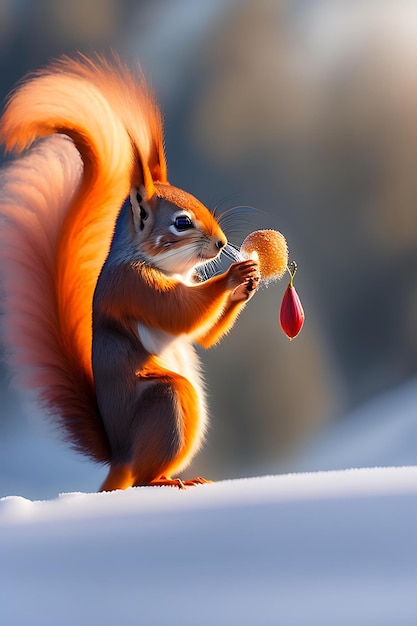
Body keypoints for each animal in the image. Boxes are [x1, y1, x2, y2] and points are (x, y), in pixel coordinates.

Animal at [0, 53, 258, 490]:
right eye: (181, 222)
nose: (222, 243)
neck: (165, 268)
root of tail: (120, 455)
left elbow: (201, 335)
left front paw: (249, 282)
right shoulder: (132, 286)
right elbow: (179, 314)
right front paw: (233, 277)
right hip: (168, 402)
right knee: (141, 476)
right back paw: (164, 481)